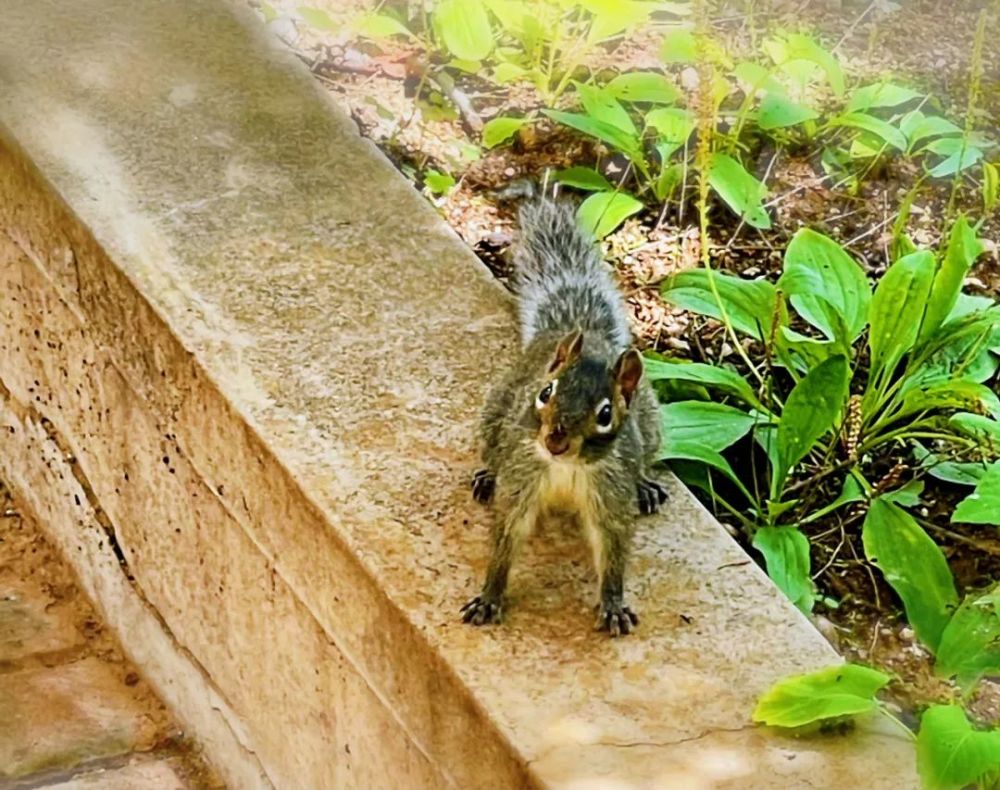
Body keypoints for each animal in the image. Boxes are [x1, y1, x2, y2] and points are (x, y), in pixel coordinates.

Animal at [458, 196, 664, 636]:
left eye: (606, 414)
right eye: (545, 392)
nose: (555, 439)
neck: (565, 469)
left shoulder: (610, 492)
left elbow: (612, 547)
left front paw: (613, 604)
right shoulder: (522, 478)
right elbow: (506, 536)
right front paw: (489, 596)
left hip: (652, 424)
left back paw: (646, 484)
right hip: (494, 413)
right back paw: (487, 474)